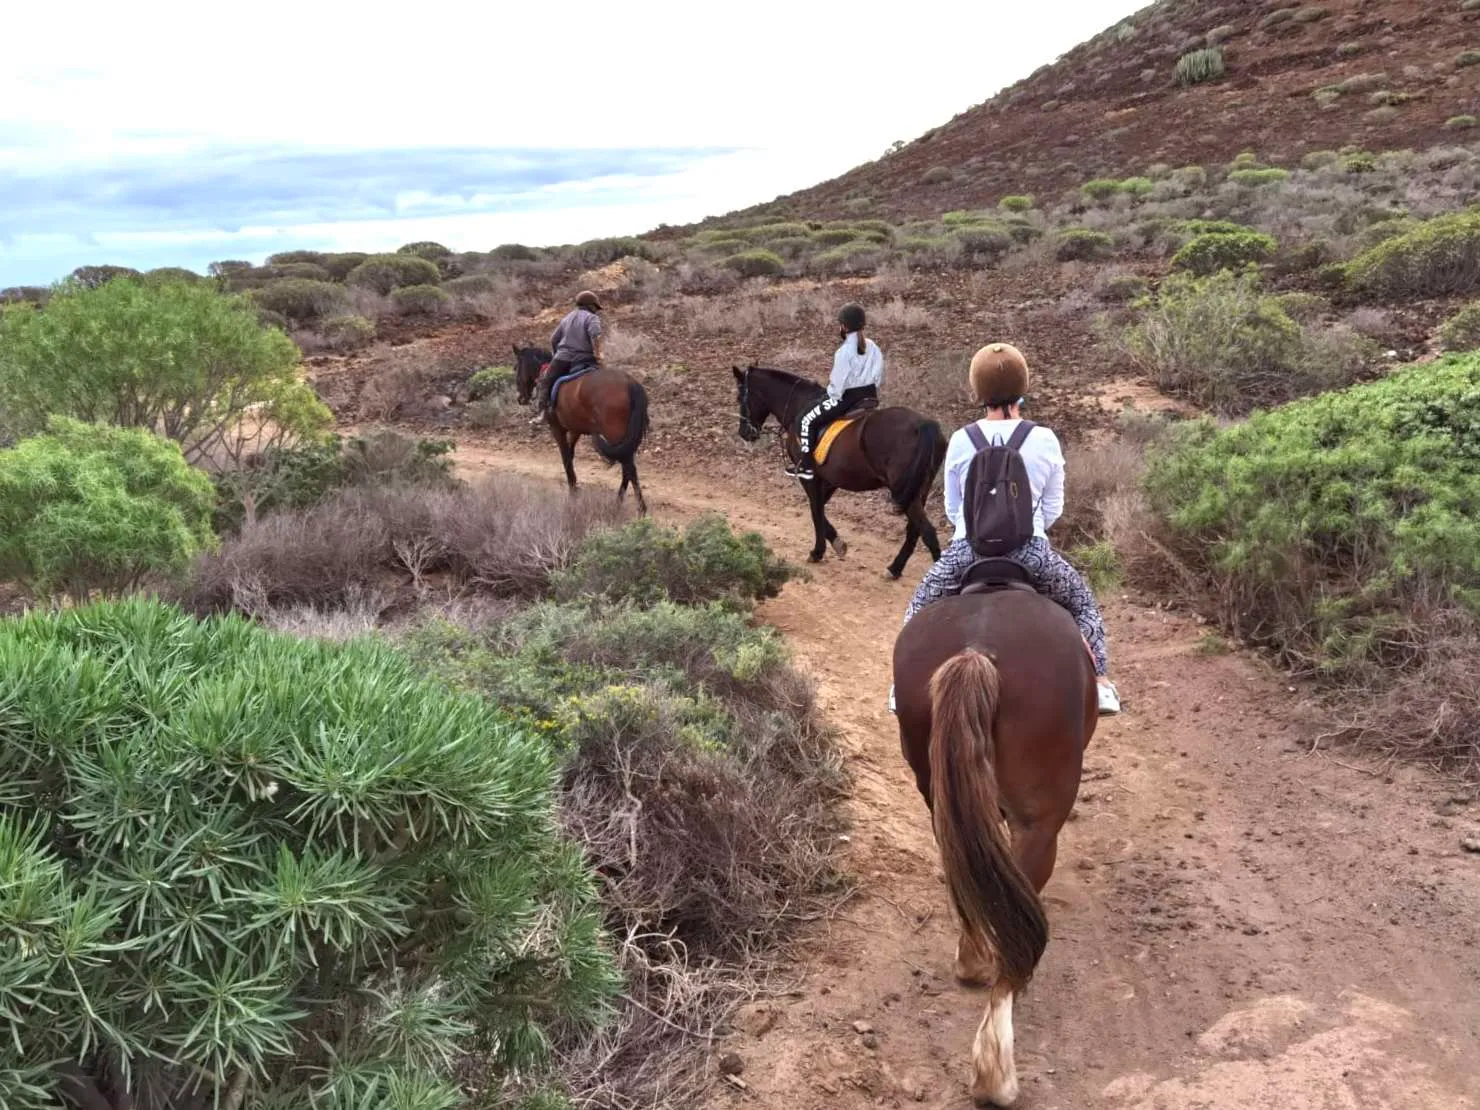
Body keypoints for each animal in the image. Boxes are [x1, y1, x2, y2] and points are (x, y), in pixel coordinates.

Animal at [514, 345, 650, 514]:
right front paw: (574, 487)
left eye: (516, 367)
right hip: (626, 438)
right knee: (627, 467)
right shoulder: (575, 430)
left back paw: (640, 508)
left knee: (629, 468)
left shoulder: (557, 429)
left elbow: (566, 458)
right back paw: (618, 502)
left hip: (614, 434)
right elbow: (570, 456)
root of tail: (630, 383)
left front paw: (572, 492)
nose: (520, 398)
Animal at [731, 364, 945, 579]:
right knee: (915, 530)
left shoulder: (810, 478)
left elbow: (815, 510)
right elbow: (818, 508)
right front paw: (836, 542)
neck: (798, 404)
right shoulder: (830, 480)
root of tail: (923, 424)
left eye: (740, 397)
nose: (744, 433)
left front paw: (818, 551)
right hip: (917, 490)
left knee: (927, 532)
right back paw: (895, 568)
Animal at [892, 564, 1097, 1106]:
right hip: (1040, 822)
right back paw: (995, 1071)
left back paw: (972, 958)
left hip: (937, 786)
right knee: (1017, 921)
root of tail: (977, 652)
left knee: (965, 865)